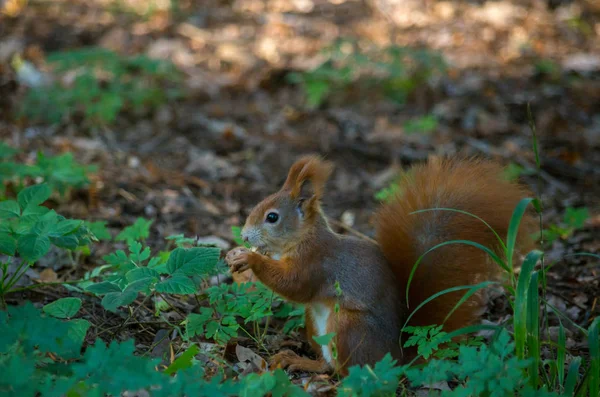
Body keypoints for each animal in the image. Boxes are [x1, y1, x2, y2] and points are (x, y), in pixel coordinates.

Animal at [225, 154, 536, 372]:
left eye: (272, 217)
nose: (244, 234)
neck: (303, 238)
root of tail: (395, 358)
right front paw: (235, 256)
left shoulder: (317, 262)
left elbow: (295, 286)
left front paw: (249, 257)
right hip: (315, 321)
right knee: (327, 365)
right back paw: (298, 360)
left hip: (348, 327)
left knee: (346, 372)